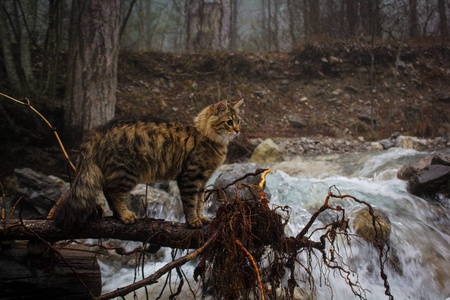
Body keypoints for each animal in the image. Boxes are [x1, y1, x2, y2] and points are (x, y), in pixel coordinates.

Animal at [53, 99, 244, 230]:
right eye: (229, 122)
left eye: (238, 121)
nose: (237, 131)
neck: (209, 139)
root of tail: (98, 130)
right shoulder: (190, 177)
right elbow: (191, 203)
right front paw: (193, 221)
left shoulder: (203, 181)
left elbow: (199, 203)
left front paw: (201, 217)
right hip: (126, 172)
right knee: (112, 193)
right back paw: (125, 215)